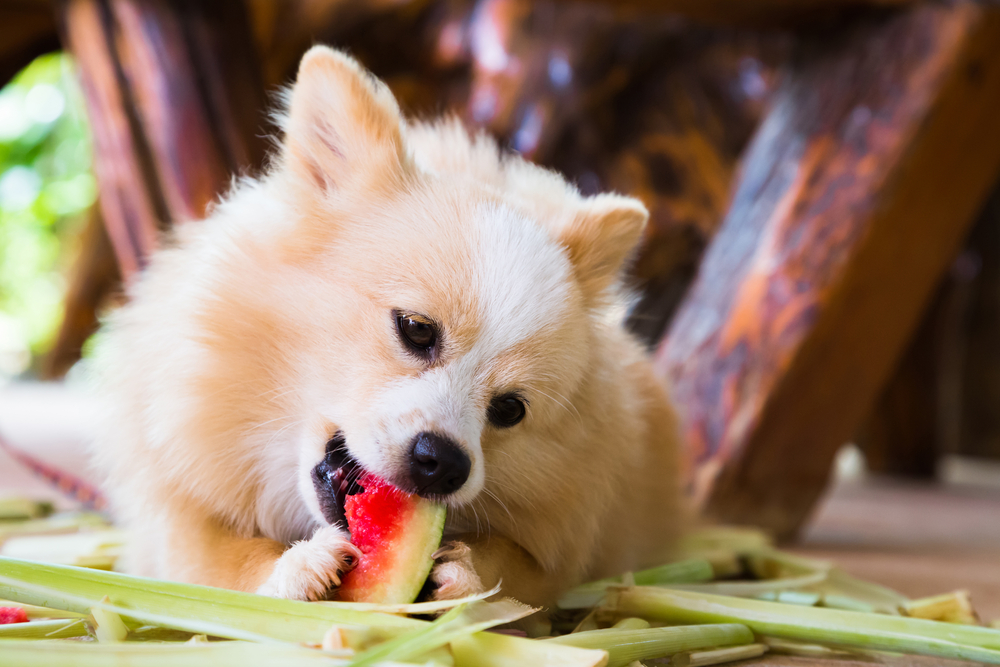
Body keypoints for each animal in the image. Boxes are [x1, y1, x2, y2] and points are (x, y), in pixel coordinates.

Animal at [90, 45, 684, 612]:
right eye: (416, 329)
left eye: (510, 410)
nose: (446, 465)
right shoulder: (170, 518)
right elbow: (215, 561)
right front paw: (292, 566)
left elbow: (520, 570)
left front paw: (468, 573)